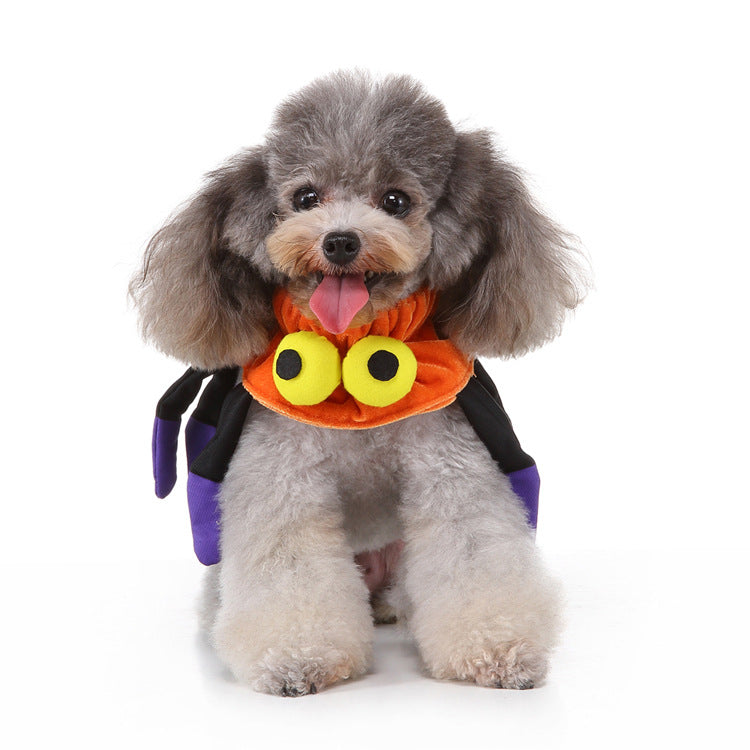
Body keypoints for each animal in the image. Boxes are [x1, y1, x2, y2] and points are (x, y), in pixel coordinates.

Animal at [131, 72, 588, 700]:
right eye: (305, 198)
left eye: (395, 200)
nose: (340, 241)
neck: (351, 350)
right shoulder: (281, 479)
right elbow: (289, 564)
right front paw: (297, 658)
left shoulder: (454, 472)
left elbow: (474, 551)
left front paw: (497, 650)